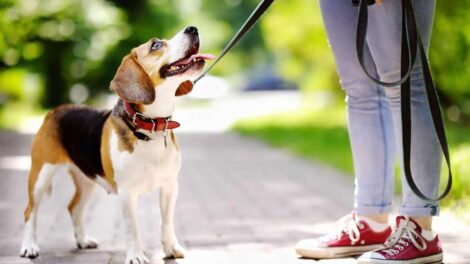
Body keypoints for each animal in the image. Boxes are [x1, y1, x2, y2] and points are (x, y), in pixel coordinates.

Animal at [20, 25, 214, 264]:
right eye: (156, 45)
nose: (192, 28)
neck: (151, 126)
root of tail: (55, 110)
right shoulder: (127, 193)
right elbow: (132, 228)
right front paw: (136, 255)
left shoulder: (170, 187)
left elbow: (166, 222)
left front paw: (171, 248)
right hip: (40, 176)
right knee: (30, 211)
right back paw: (29, 246)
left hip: (87, 180)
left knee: (74, 208)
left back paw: (83, 240)